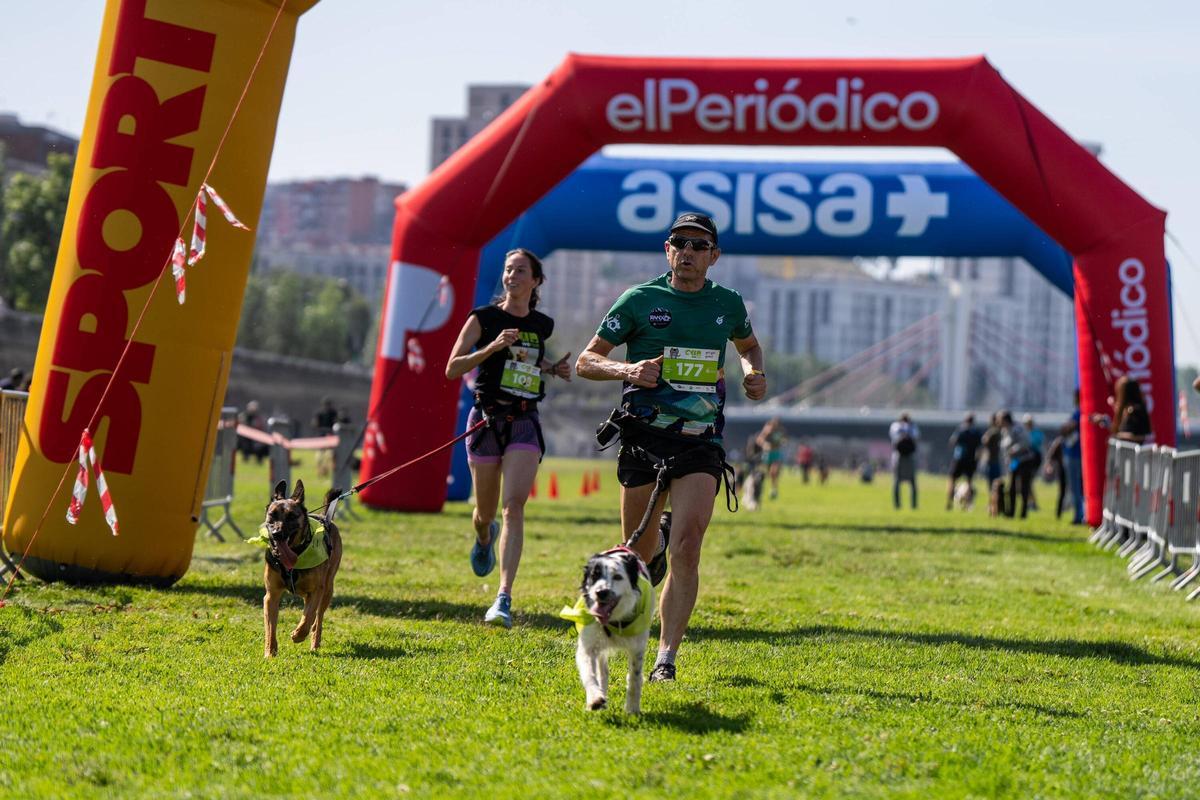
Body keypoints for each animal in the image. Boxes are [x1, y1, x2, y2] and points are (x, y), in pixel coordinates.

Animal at [260, 482, 340, 657]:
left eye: (291, 516)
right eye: (272, 515)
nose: (277, 534)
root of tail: (324, 517)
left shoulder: (316, 590)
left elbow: (308, 616)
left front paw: (298, 635)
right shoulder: (271, 595)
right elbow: (270, 628)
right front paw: (270, 652)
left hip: (327, 589)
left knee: (317, 619)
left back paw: (314, 643)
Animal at [556, 551, 652, 714]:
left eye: (618, 577)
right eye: (594, 575)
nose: (601, 592)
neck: (612, 621)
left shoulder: (637, 648)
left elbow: (634, 677)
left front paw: (632, 708)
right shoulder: (589, 645)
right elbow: (589, 673)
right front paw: (595, 699)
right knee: (602, 671)